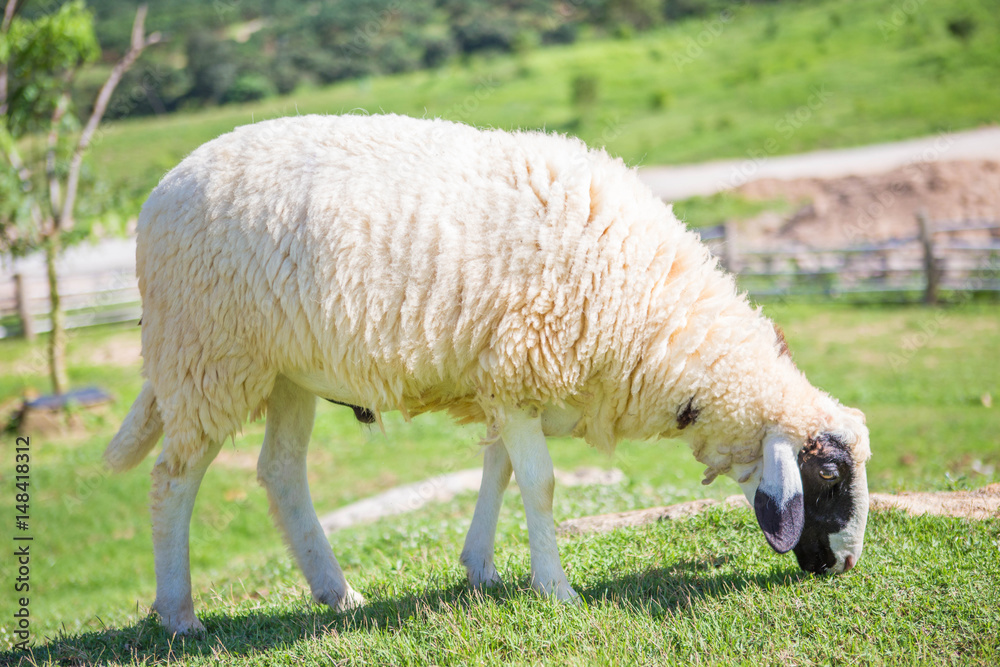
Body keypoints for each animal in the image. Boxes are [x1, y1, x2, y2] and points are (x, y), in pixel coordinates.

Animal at [105, 113, 872, 635]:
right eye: (831, 477)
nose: (846, 566)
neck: (654, 319)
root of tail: (159, 192)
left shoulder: (506, 377)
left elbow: (498, 472)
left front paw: (481, 568)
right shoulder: (521, 365)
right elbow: (540, 483)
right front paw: (556, 587)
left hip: (287, 367)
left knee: (281, 471)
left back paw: (337, 593)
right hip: (208, 353)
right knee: (174, 479)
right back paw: (178, 613)